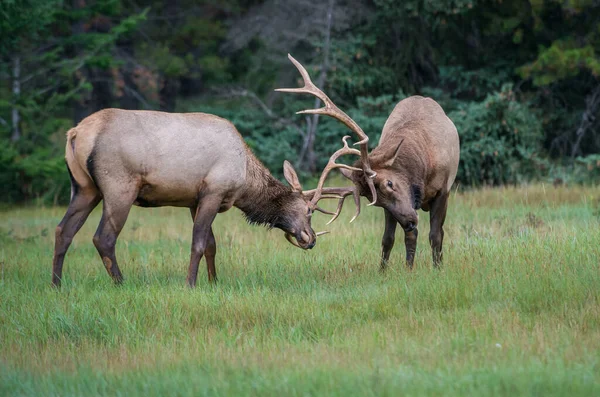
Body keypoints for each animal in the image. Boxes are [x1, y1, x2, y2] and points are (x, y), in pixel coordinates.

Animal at [51, 108, 356, 288]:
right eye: (309, 209)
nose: (310, 239)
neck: (244, 179)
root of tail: (76, 133)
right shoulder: (213, 190)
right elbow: (198, 243)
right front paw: (191, 284)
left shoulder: (194, 200)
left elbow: (211, 245)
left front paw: (214, 283)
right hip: (119, 186)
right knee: (103, 237)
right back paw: (122, 283)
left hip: (84, 188)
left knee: (63, 230)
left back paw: (56, 285)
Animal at [278, 54, 462, 268]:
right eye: (376, 202)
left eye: (389, 183)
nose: (409, 221)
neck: (424, 165)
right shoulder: (396, 208)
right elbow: (389, 239)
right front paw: (392, 270)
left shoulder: (443, 190)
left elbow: (435, 235)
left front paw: (438, 269)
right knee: (411, 235)